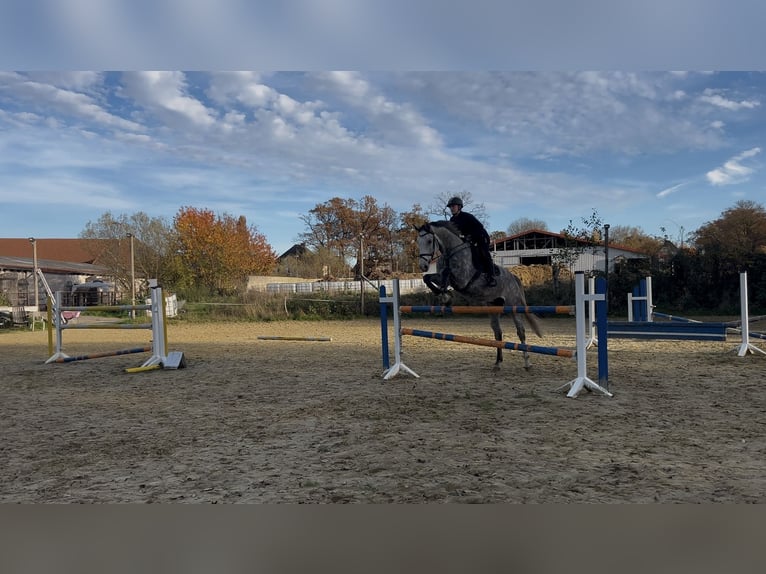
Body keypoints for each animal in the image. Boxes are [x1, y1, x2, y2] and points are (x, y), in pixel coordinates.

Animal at [415, 220, 543, 370]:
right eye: (418, 241)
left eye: (429, 241)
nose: (423, 266)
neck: (451, 252)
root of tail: (514, 278)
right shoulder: (441, 277)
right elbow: (428, 278)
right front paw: (444, 297)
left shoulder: (462, 280)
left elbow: (446, 274)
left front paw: (446, 296)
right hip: (493, 306)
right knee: (498, 333)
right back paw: (498, 363)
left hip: (513, 306)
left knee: (520, 331)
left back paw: (527, 363)